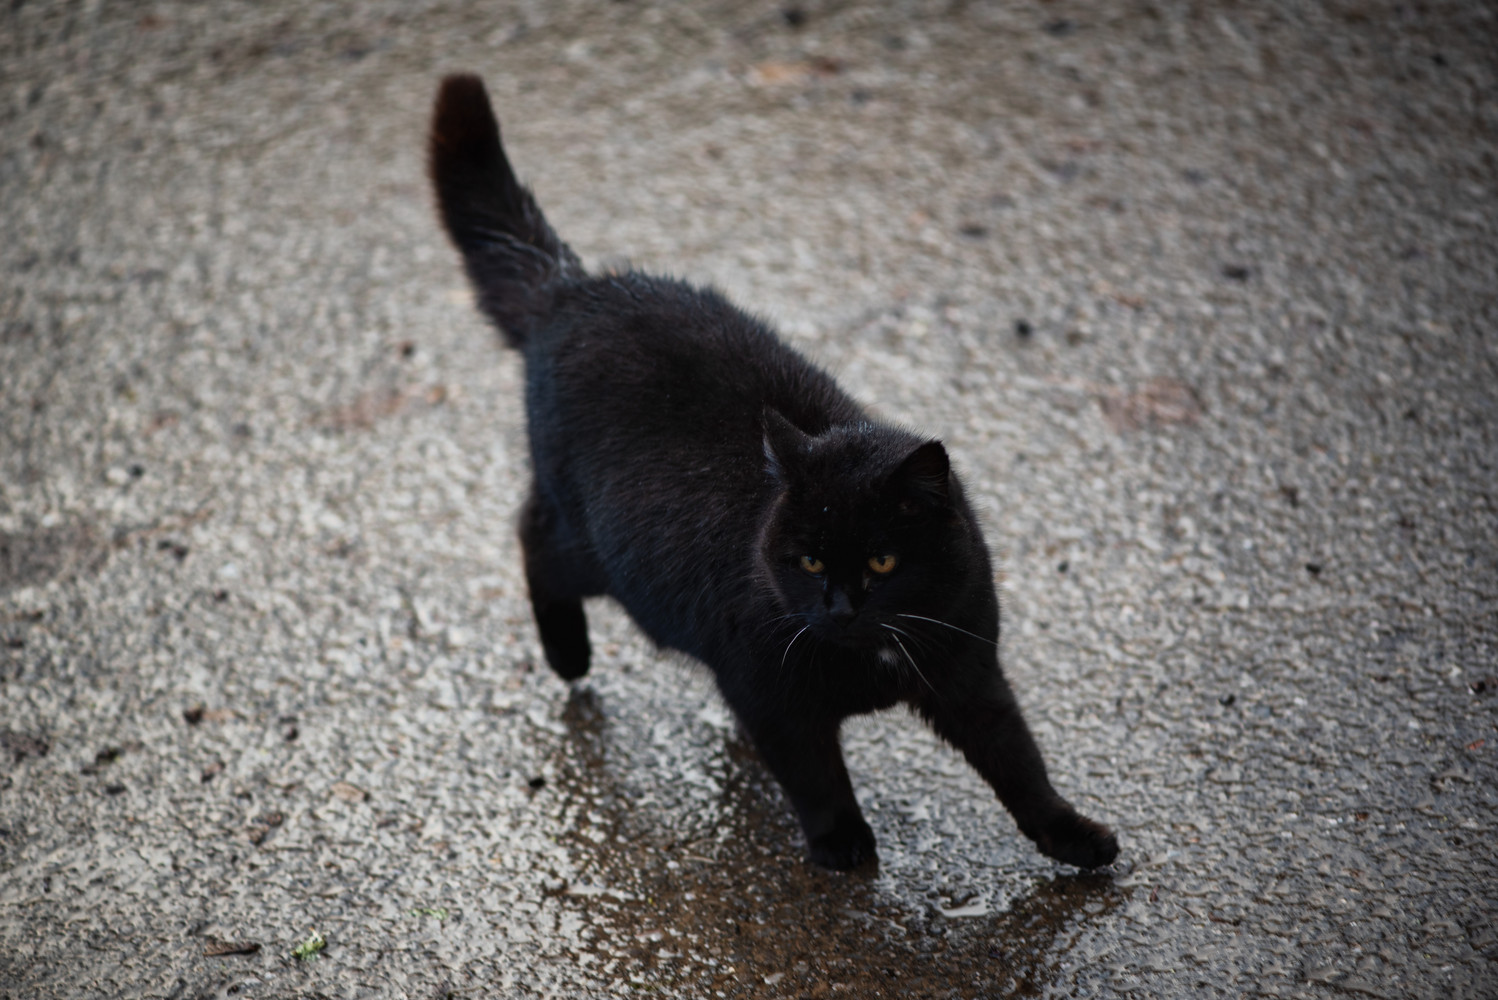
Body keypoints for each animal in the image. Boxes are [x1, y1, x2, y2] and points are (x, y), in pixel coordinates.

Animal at [428, 73, 1118, 872]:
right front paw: (843, 845)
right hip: (602, 554)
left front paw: (1073, 836)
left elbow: (1019, 763)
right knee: (532, 536)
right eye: (809, 559)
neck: (870, 653)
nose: (838, 605)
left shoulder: (968, 670)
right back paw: (568, 655)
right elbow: (814, 772)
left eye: (883, 561)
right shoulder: (771, 691)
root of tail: (576, 290)